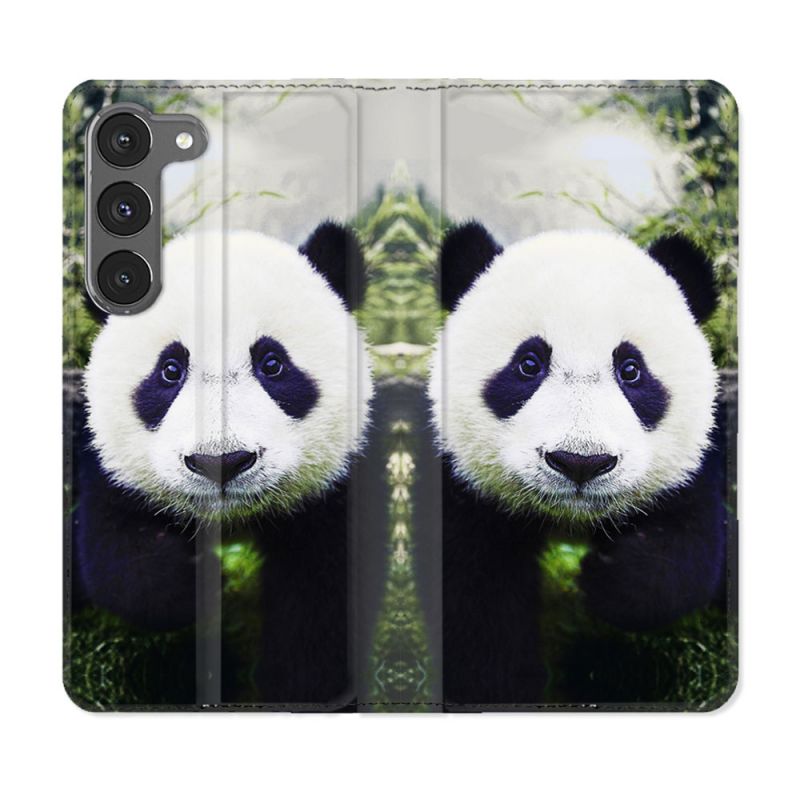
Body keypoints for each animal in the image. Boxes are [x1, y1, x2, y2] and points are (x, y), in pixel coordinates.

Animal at [73, 222, 372, 706]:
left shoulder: (334, 492)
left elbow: (321, 604)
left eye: (272, 363)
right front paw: (194, 584)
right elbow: (118, 557)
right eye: (170, 370)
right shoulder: (110, 469)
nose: (222, 463)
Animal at [428, 222, 727, 708]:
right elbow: (474, 605)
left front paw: (609, 579)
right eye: (528, 364)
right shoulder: (462, 488)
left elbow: (687, 550)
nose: (580, 463)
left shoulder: (691, 465)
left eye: (631, 369)